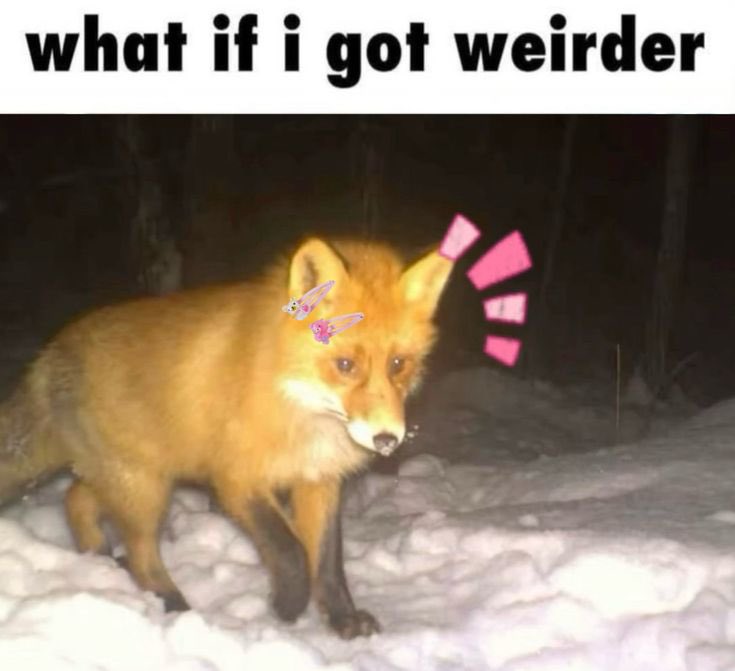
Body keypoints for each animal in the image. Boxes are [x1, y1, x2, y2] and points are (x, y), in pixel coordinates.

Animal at [0, 236, 453, 639]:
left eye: (398, 365)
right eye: (344, 365)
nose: (387, 440)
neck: (300, 408)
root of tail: (50, 353)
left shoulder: (318, 479)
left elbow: (327, 561)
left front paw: (343, 621)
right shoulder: (237, 478)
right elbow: (291, 552)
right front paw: (287, 607)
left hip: (135, 478)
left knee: (75, 498)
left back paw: (98, 558)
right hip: (144, 489)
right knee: (141, 554)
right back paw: (172, 605)